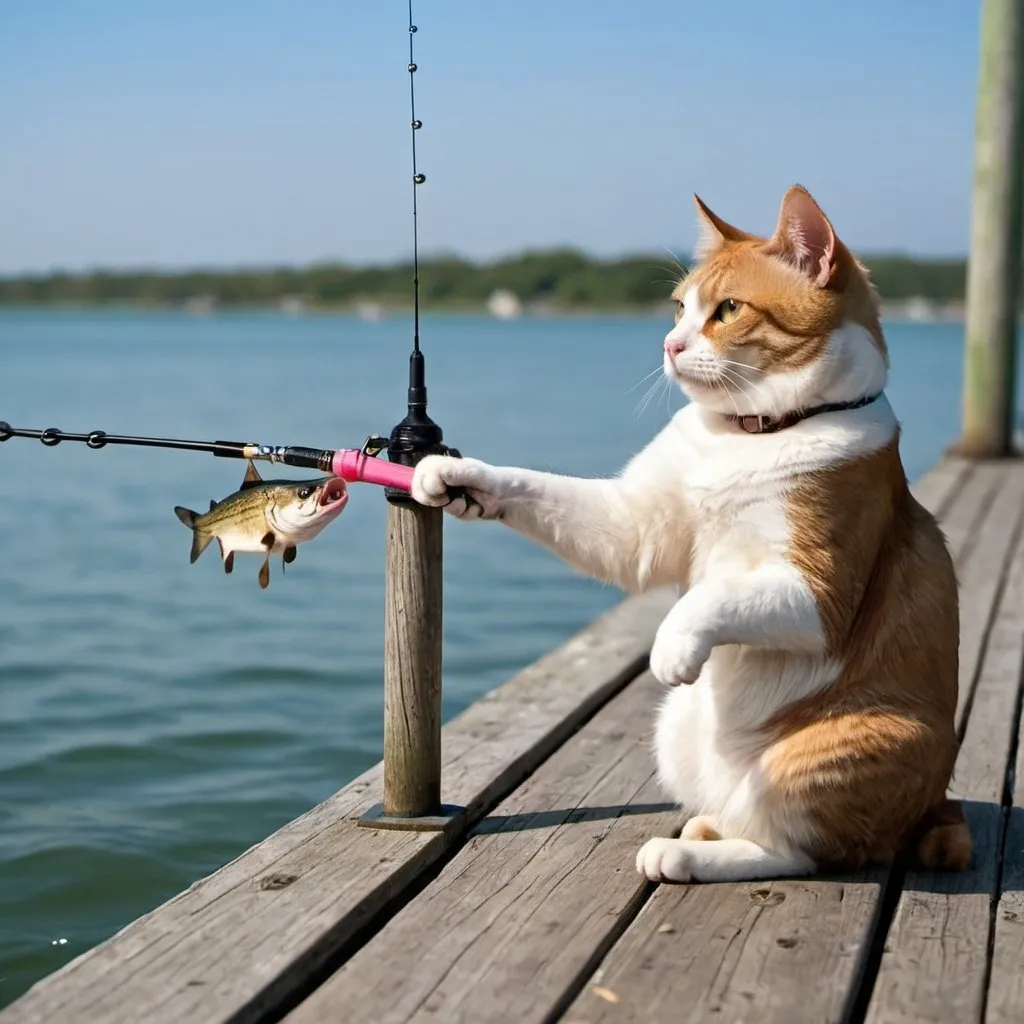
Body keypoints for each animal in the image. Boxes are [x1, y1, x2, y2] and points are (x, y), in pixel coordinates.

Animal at [405, 188, 966, 884]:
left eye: (727, 310)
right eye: (680, 307)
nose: (670, 344)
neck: (750, 433)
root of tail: (935, 804)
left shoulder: (821, 593)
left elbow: (711, 597)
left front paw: (672, 648)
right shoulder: (632, 527)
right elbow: (530, 485)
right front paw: (451, 473)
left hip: (830, 752)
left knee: (803, 850)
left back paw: (685, 854)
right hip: (676, 727)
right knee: (747, 817)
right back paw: (705, 826)